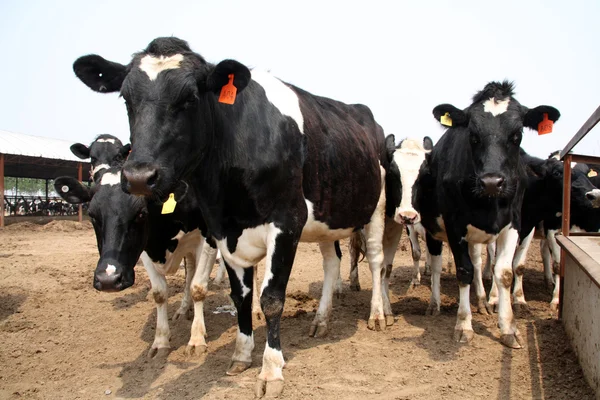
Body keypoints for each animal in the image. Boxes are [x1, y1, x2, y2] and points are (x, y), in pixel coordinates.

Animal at [72, 37, 392, 396]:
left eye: (191, 97)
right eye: (127, 98)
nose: (140, 176)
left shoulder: (286, 222)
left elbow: (271, 299)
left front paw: (271, 370)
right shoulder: (221, 230)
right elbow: (240, 297)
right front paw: (241, 354)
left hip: (377, 208)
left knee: (376, 260)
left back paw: (377, 315)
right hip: (327, 216)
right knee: (331, 262)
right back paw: (321, 321)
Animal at [404, 81, 564, 346]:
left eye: (517, 134)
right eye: (473, 135)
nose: (492, 182)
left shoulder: (514, 224)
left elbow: (504, 273)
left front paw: (508, 327)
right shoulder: (454, 225)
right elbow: (464, 271)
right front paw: (463, 324)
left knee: (478, 264)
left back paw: (480, 302)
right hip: (433, 230)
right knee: (436, 265)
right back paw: (435, 304)